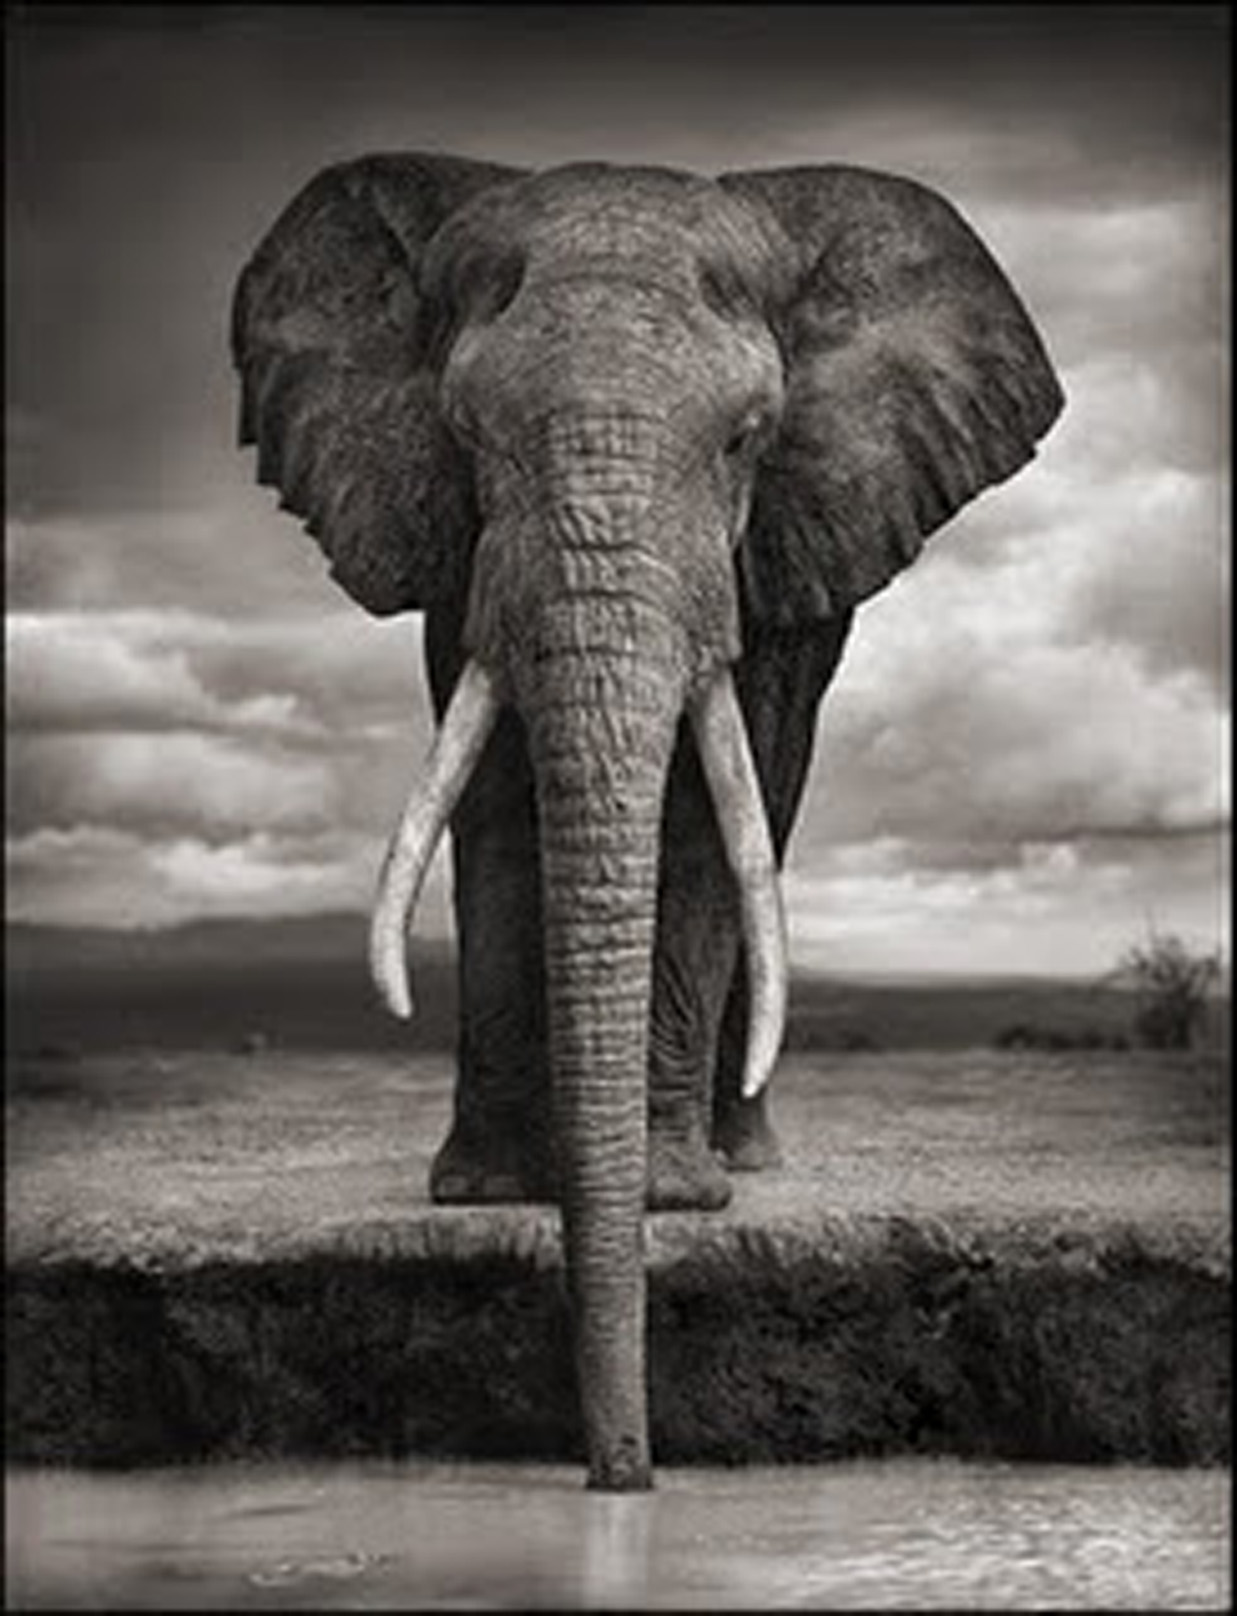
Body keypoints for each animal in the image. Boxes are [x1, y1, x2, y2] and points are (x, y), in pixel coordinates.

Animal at [231, 153, 1063, 1489]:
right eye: (465, 434)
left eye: (746, 437)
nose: (622, 1472)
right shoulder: (458, 548)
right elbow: (496, 798)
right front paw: (490, 1191)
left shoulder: (771, 543)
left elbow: (709, 816)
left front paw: (669, 1199)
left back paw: (742, 1156)